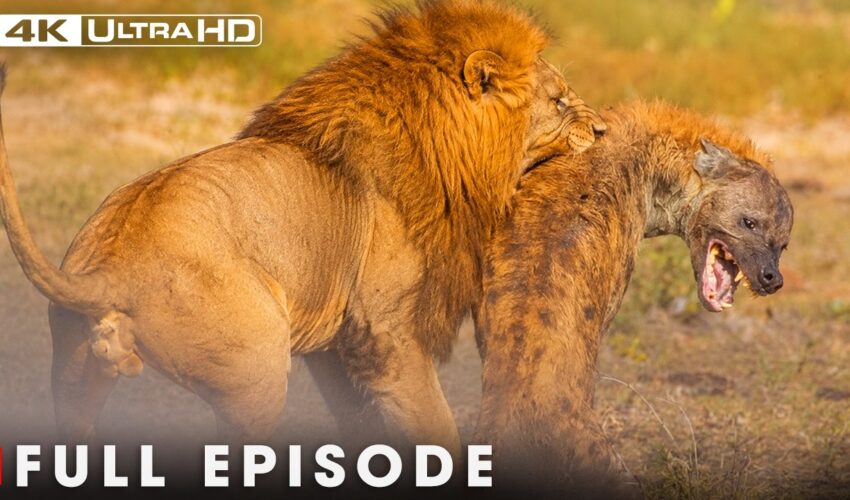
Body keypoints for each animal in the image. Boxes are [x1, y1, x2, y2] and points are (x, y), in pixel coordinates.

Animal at [0, 0, 605, 454]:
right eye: (559, 100)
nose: (602, 129)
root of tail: (112, 268)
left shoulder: (336, 343)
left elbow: (361, 422)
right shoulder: (387, 330)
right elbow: (434, 424)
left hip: (75, 376)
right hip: (256, 374)